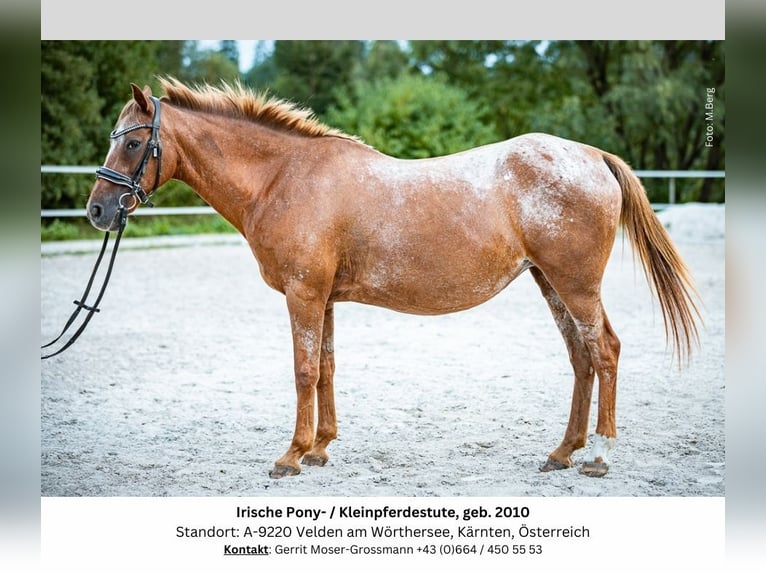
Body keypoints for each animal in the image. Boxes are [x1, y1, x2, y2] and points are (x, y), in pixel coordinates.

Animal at [85, 79, 704, 480]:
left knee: (605, 352)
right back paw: (562, 452)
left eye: (133, 142)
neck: (284, 177)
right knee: (581, 358)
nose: (97, 210)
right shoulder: (324, 298)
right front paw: (320, 449)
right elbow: (327, 368)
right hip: (550, 284)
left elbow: (304, 371)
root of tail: (593, 156)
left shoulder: (303, 295)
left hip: (576, 286)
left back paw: (599, 456)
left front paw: (290, 456)